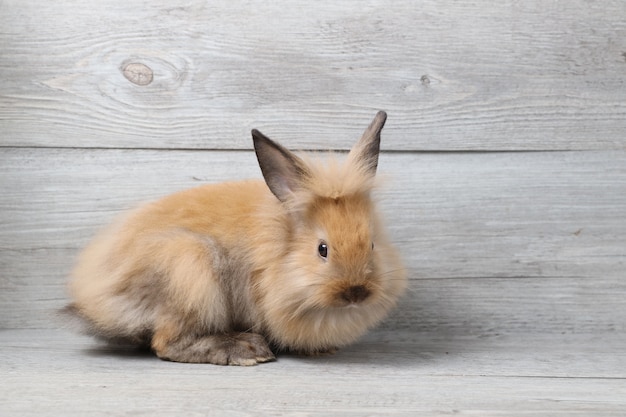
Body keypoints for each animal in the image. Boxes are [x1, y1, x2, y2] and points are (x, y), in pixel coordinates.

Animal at [64, 110, 404, 364]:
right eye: (323, 249)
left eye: (372, 244)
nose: (355, 293)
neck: (279, 247)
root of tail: (95, 297)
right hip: (189, 268)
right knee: (165, 343)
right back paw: (245, 350)